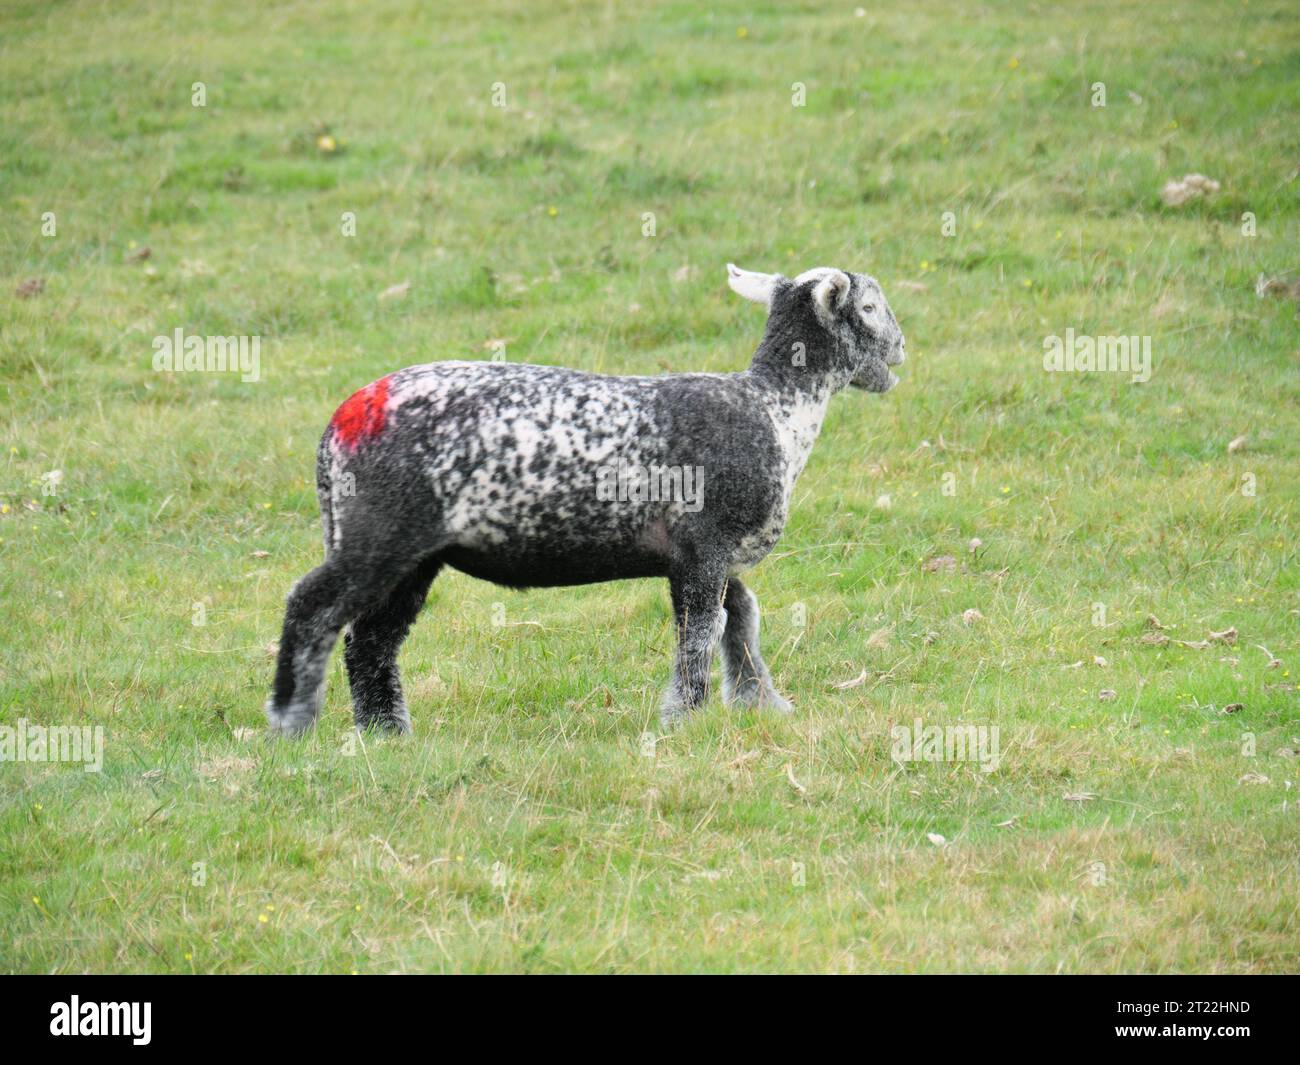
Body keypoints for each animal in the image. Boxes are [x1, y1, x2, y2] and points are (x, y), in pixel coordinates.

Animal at [266, 262, 904, 738]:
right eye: (871, 308)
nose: (901, 351)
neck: (775, 408)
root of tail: (344, 419)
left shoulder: (709, 555)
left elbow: (741, 617)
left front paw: (758, 701)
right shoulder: (704, 546)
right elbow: (702, 629)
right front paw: (685, 720)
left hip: (414, 554)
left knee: (371, 640)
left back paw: (385, 732)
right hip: (380, 534)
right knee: (312, 608)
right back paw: (291, 722)